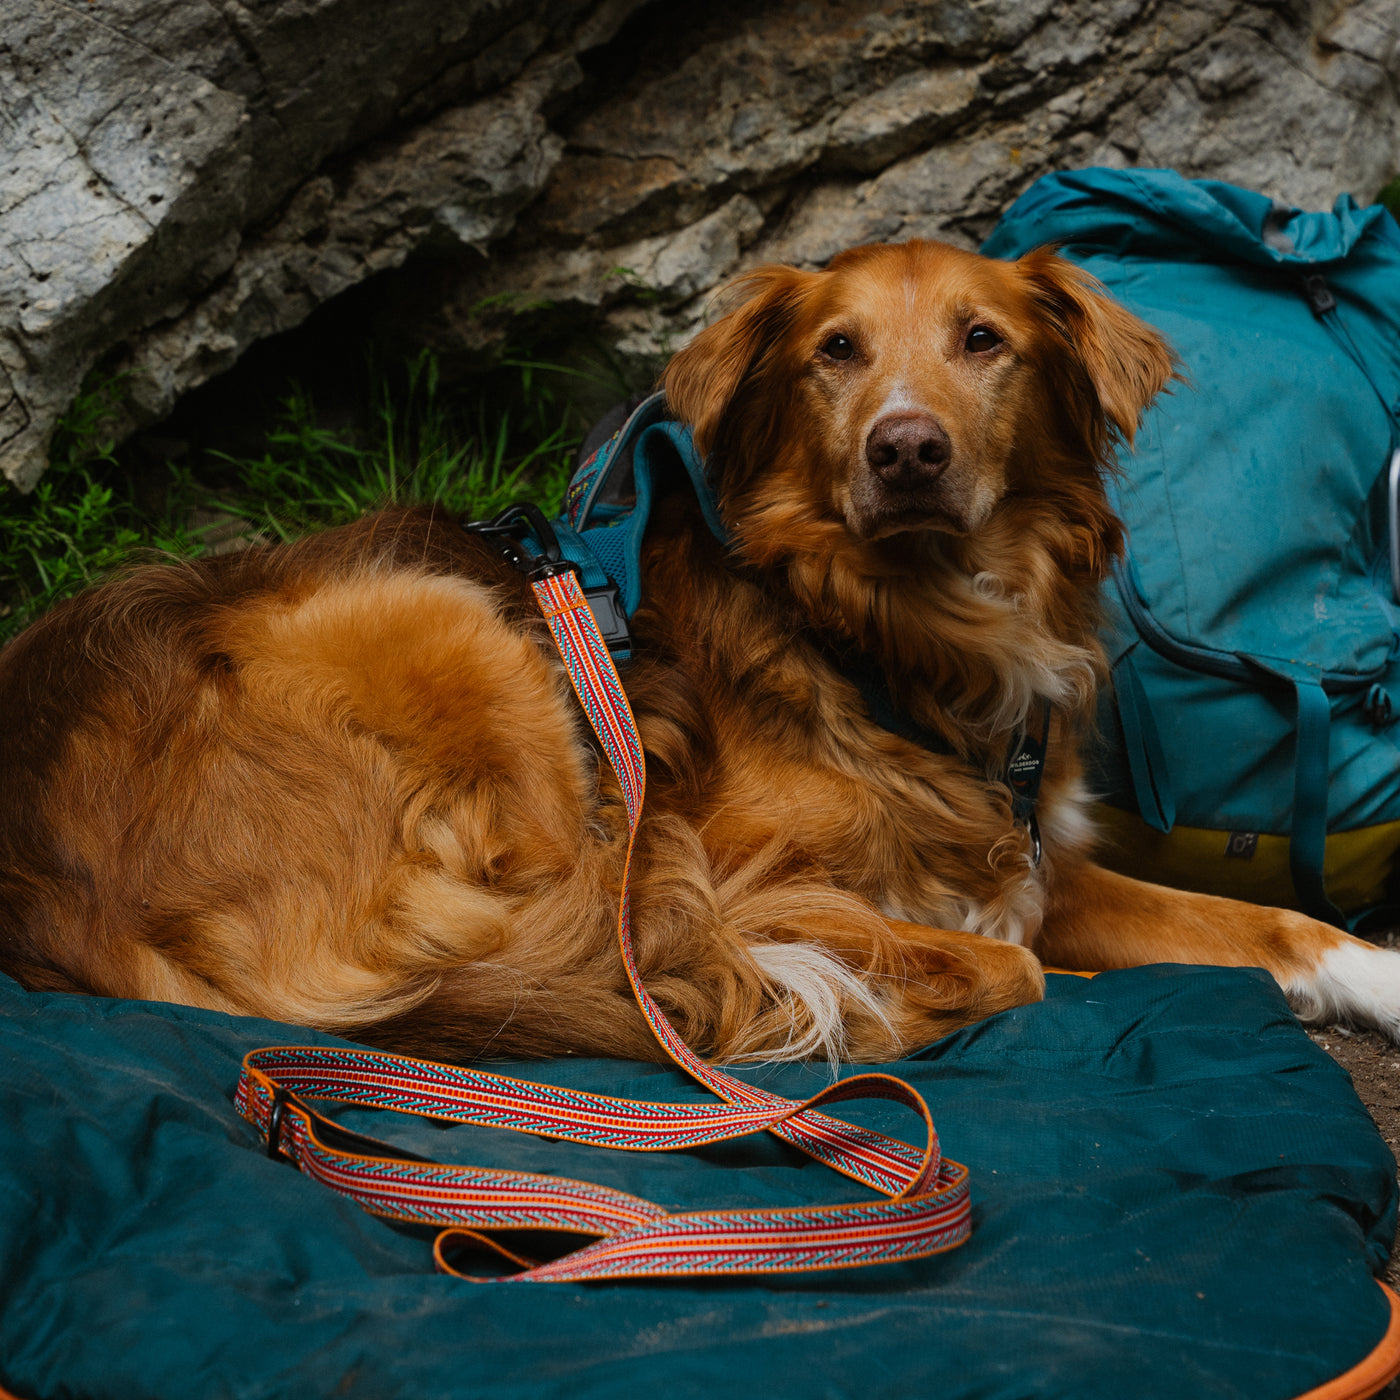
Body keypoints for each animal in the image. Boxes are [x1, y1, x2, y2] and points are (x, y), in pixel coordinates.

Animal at [2, 240, 1400, 1064]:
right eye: (834, 350)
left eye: (982, 340)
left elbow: (1271, 921)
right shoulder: (740, 870)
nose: (905, 450)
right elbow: (1002, 954)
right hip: (456, 630)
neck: (891, 632)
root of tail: (45, 886)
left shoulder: (1032, 852)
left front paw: (1373, 973)